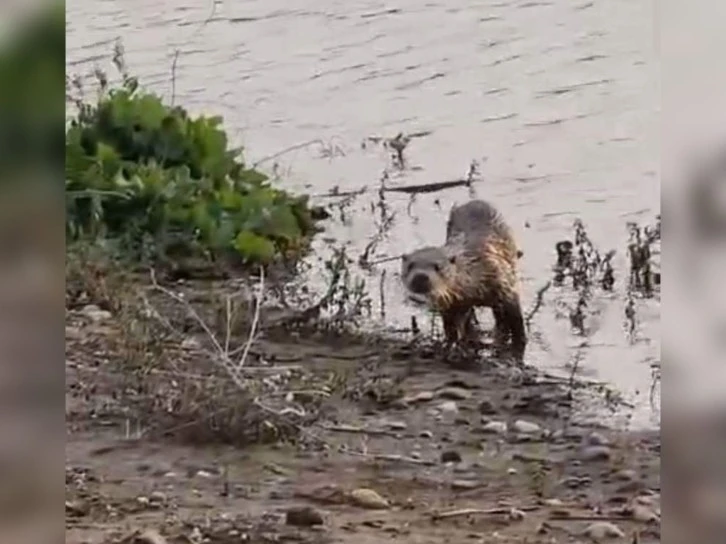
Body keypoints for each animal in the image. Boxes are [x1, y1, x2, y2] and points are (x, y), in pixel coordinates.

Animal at [404, 200, 528, 362]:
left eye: (438, 267)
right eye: (410, 265)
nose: (420, 277)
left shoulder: (505, 287)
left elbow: (517, 320)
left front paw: (519, 343)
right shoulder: (449, 304)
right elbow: (450, 327)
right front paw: (451, 345)